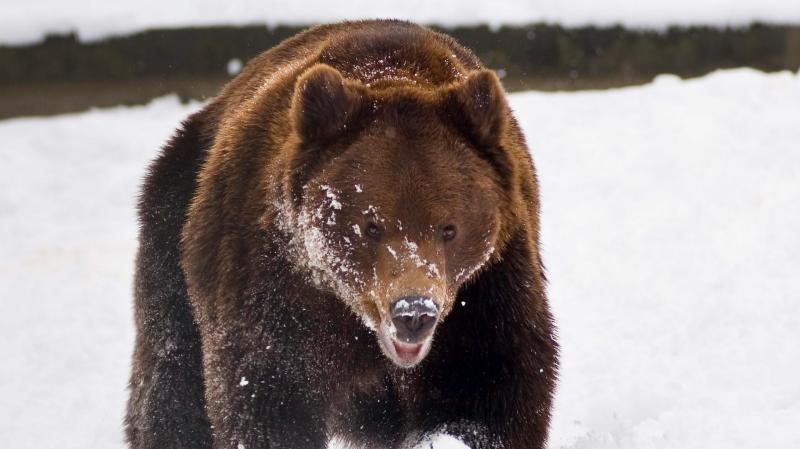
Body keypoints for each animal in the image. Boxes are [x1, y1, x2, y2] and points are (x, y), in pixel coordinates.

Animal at [125, 18, 556, 448]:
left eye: (449, 228)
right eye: (371, 225)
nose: (413, 313)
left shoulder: (484, 289)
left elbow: (484, 388)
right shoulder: (274, 285)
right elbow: (266, 389)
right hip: (175, 224)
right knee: (171, 376)